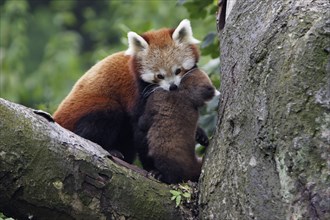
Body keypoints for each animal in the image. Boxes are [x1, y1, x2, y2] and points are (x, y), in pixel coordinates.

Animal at [53, 18, 209, 163]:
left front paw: (199, 133)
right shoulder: (136, 94)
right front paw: (153, 167)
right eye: (159, 76)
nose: (173, 87)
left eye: (178, 70)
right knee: (105, 115)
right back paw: (109, 149)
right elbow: (142, 126)